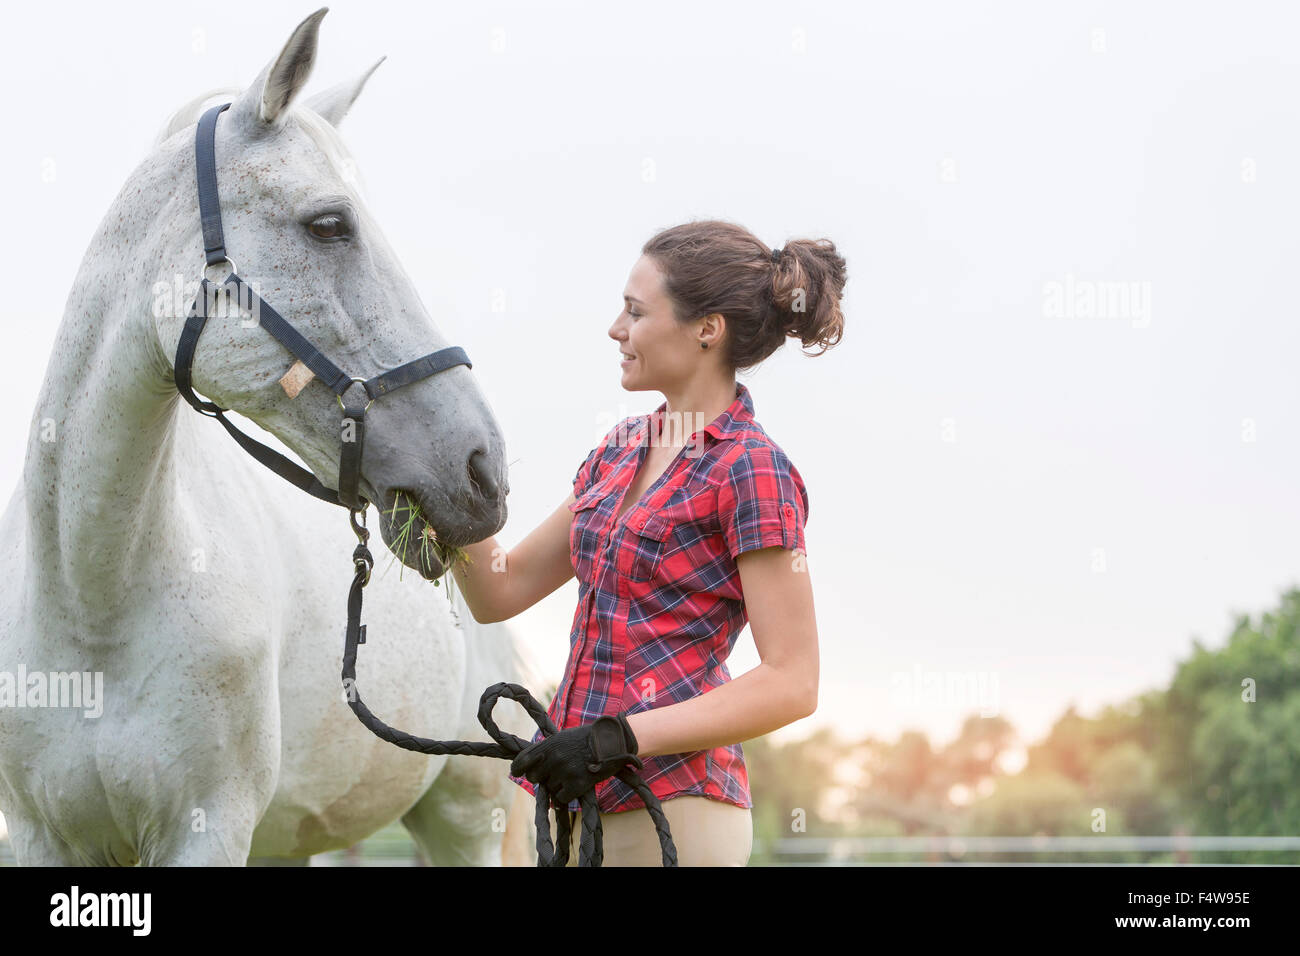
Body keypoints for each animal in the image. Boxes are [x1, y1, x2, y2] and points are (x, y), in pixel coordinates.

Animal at [0, 5, 540, 868]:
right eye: (329, 224)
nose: (482, 471)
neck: (91, 600)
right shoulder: (38, 836)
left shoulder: (207, 828)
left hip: (463, 819)